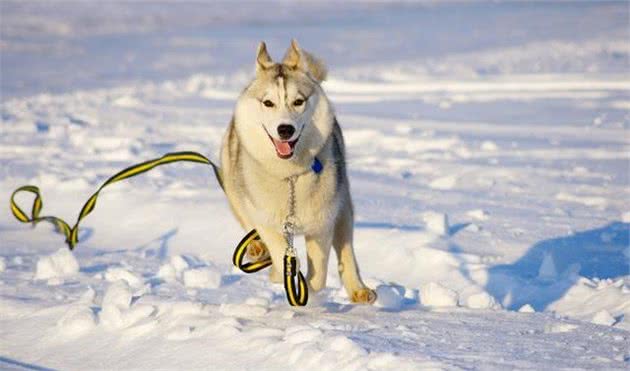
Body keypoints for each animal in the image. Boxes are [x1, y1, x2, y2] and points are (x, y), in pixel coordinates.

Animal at [222, 40, 378, 306]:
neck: (290, 177)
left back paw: (358, 289)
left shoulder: (322, 223)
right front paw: (279, 273)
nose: (285, 129)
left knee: (346, 250)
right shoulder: (267, 221)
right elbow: (276, 250)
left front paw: (306, 288)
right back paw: (257, 251)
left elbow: (319, 275)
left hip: (343, 206)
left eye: (298, 101)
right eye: (268, 103)